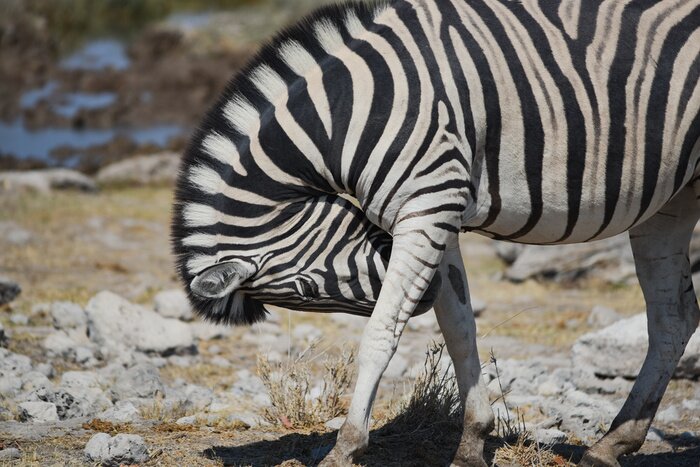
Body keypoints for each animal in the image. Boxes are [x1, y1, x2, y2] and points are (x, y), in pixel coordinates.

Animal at [171, 0, 700, 465]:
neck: (351, 113)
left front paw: (345, 447)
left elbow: (381, 333)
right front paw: (472, 443)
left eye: (304, 289)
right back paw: (612, 444)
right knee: (673, 319)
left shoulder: (430, 203)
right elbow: (459, 328)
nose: (421, 295)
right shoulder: (435, 208)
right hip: (670, 201)